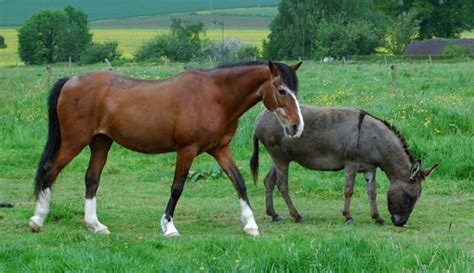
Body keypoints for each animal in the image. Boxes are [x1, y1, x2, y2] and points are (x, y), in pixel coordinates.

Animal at [29, 60, 304, 235]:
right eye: (282, 90)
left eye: (295, 91)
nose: (297, 126)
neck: (214, 96)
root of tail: (71, 80)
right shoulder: (187, 150)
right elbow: (177, 188)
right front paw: (169, 226)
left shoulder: (220, 149)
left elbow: (239, 182)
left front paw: (251, 225)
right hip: (75, 140)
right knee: (49, 170)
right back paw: (37, 220)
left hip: (100, 142)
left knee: (91, 179)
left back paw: (95, 225)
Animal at [250, 105, 438, 226]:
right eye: (410, 197)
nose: (400, 223)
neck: (374, 138)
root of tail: (260, 117)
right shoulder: (351, 163)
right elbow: (348, 190)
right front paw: (348, 217)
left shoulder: (370, 168)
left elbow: (372, 193)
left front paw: (377, 218)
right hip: (280, 157)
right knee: (282, 185)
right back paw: (297, 216)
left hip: (281, 157)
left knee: (268, 181)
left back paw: (274, 214)